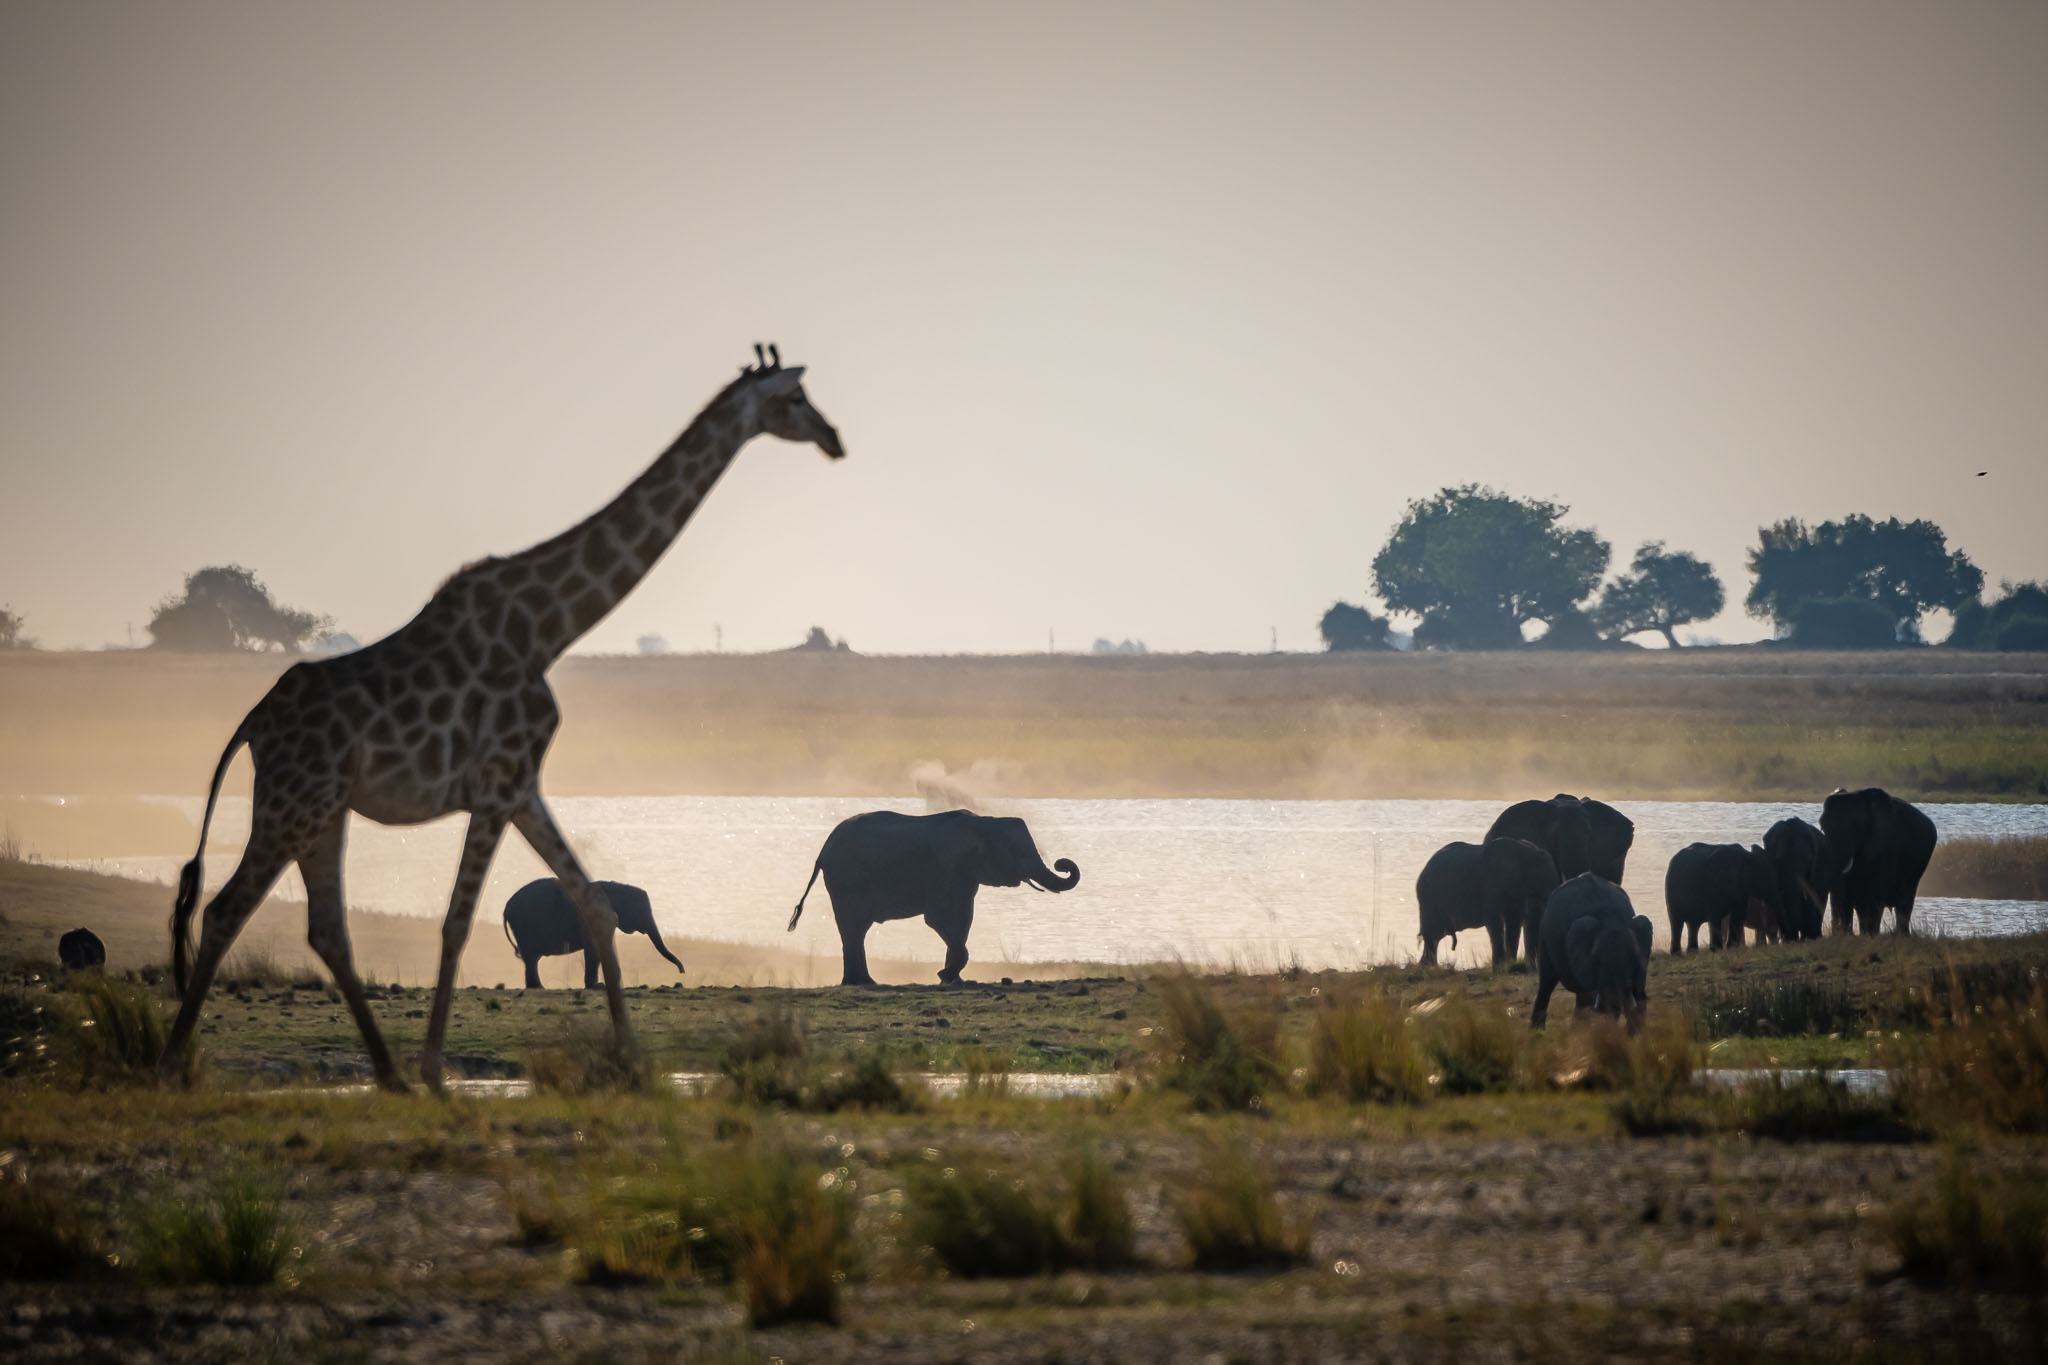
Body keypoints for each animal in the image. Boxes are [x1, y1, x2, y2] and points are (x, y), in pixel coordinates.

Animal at [501, 879, 683, 989]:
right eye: (640, 909)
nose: (681, 972)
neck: (614, 888)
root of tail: (506, 907)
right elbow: (594, 948)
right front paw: (598, 987)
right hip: (524, 925)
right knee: (531, 958)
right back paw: (538, 987)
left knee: (531, 959)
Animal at [788, 810, 1080, 986]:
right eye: (1017, 850)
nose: (1062, 863)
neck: (985, 822)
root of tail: (823, 850)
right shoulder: (947, 867)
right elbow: (939, 918)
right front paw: (945, 976)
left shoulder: (964, 876)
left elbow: (963, 919)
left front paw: (952, 980)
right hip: (846, 880)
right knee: (854, 927)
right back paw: (861, 983)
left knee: (855, 931)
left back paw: (862, 982)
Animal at [1414, 837, 1560, 966]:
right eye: (1543, 878)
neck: (1524, 850)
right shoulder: (1491, 884)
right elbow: (1494, 921)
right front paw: (1499, 967)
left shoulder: (1517, 891)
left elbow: (1514, 921)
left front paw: (1509, 963)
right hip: (1430, 899)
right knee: (1432, 933)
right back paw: (1429, 967)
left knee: (1436, 934)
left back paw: (1426, 966)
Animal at [1529, 874, 1652, 1030]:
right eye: (1596, 960)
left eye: (1633, 959)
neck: (1610, 918)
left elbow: (1638, 992)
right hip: (1545, 938)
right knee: (1547, 983)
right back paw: (1538, 1032)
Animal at [1818, 787, 1937, 935]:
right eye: (1822, 826)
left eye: (1856, 827)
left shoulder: (1884, 849)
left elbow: (1874, 898)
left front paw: (1870, 935)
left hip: (1917, 869)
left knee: (1904, 904)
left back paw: (1900, 935)